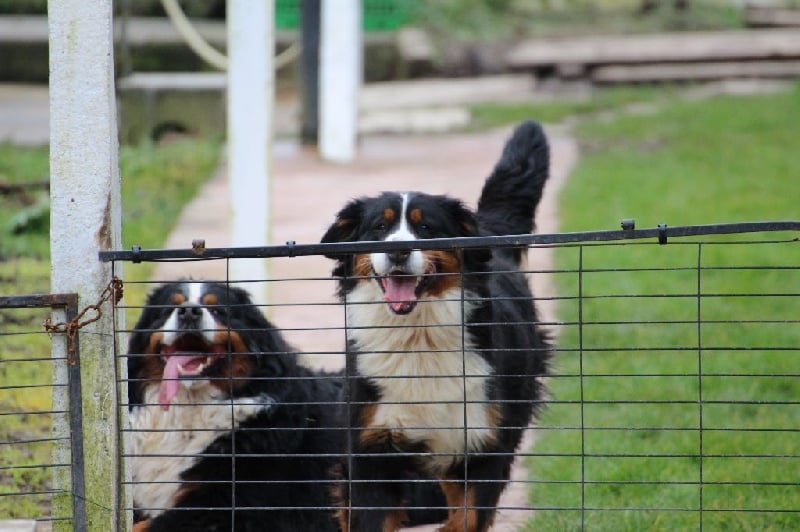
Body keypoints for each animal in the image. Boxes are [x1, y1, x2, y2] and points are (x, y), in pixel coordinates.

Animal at [318, 121, 552, 532]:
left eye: (425, 227)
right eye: (379, 227)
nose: (397, 249)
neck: (417, 335)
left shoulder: (482, 445)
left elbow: (467, 517)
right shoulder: (371, 451)